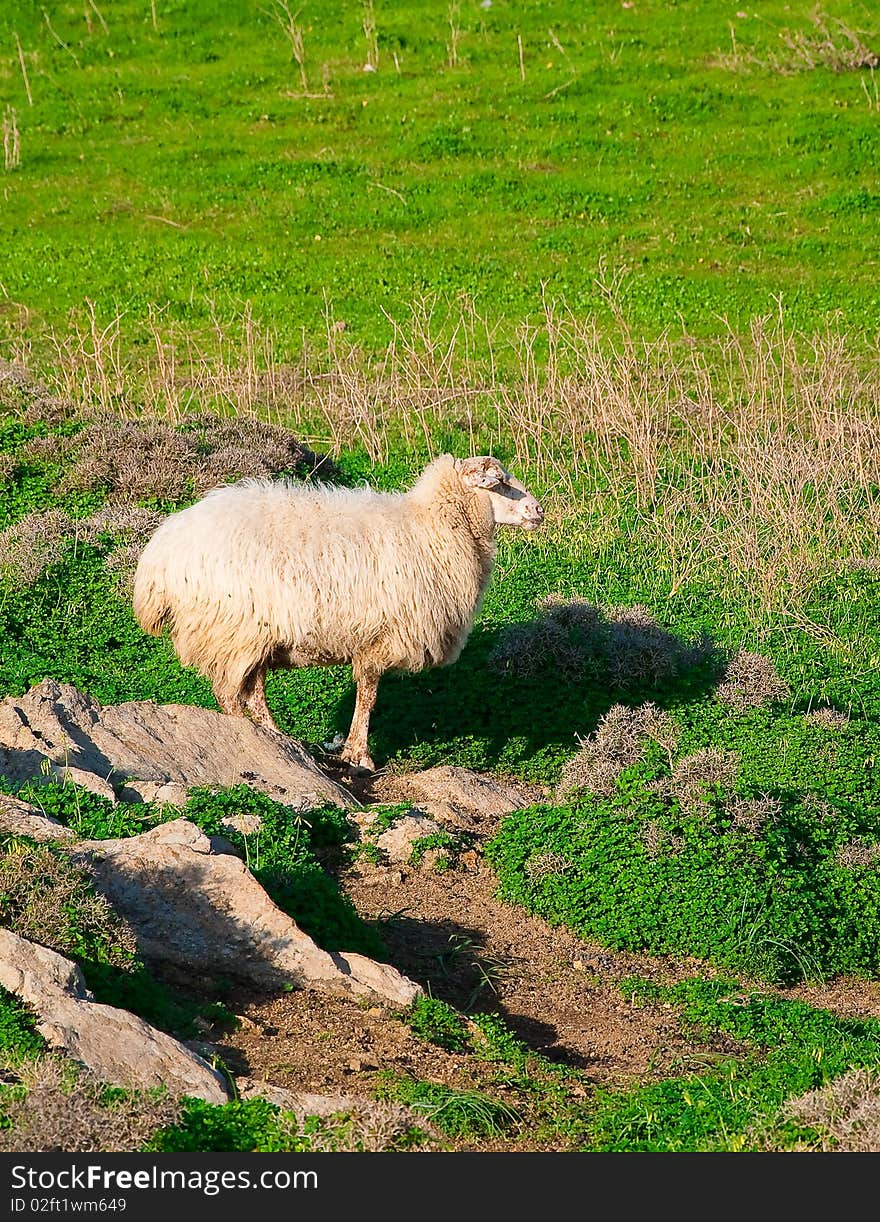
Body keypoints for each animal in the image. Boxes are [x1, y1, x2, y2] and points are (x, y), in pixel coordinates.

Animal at [132, 454, 542, 767]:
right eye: (500, 482)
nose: (538, 510)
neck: (434, 527)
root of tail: (160, 554)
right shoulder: (381, 638)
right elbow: (368, 696)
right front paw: (358, 755)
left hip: (253, 636)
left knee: (252, 694)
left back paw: (280, 739)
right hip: (233, 629)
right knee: (231, 696)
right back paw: (259, 740)